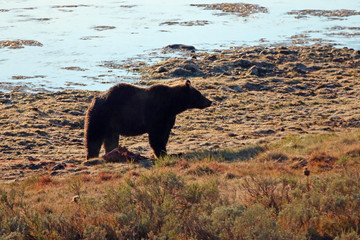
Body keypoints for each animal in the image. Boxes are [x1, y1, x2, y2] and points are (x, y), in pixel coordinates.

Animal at [84, 80, 212, 159]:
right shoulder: (157, 113)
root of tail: (93, 101)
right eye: (199, 94)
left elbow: (165, 134)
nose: (209, 101)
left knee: (110, 140)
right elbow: (156, 135)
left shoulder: (169, 118)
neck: (172, 105)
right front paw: (161, 153)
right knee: (93, 137)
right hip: (101, 117)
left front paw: (165, 152)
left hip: (111, 124)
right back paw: (91, 157)